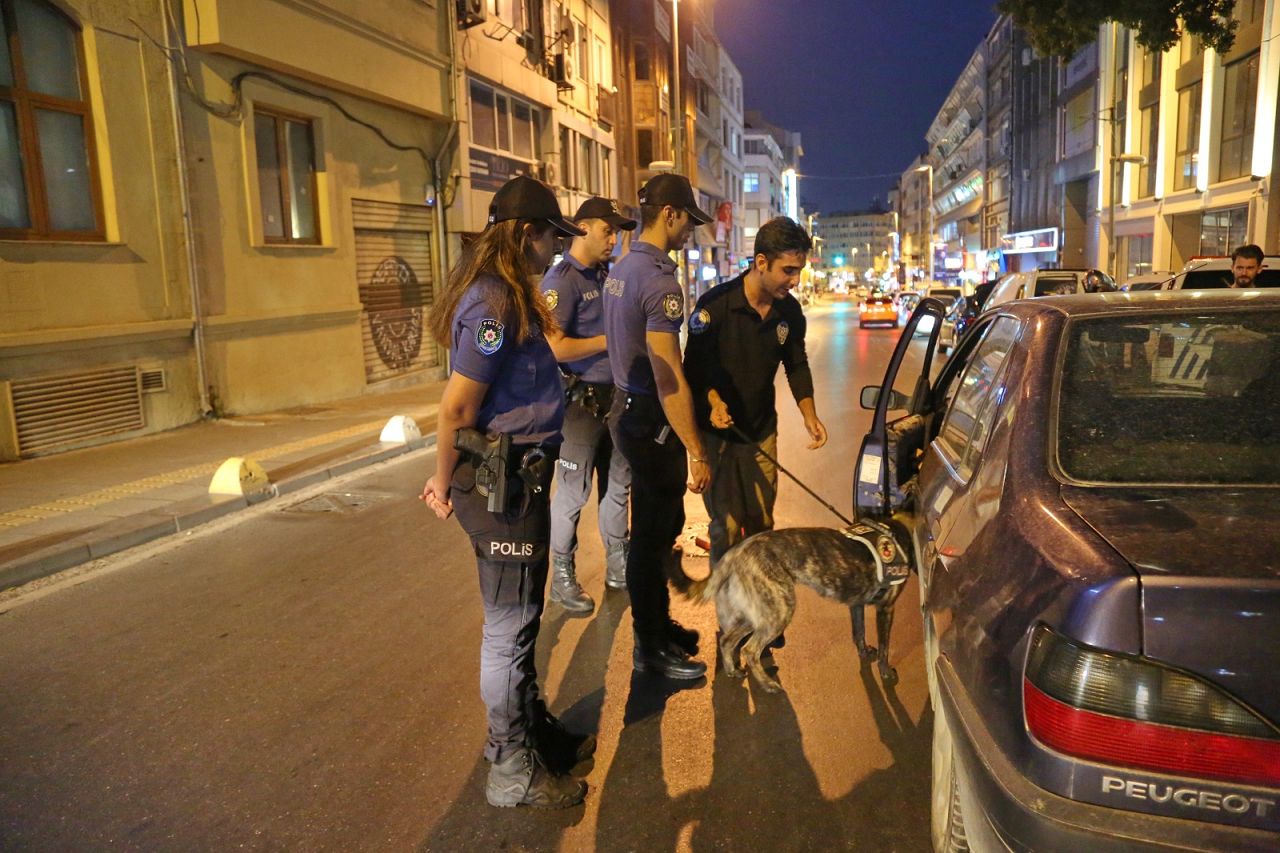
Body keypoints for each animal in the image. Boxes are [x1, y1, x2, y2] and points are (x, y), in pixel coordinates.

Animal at [680, 525, 901, 691]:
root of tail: (737, 551)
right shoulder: (886, 609)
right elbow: (884, 647)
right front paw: (886, 672)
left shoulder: (857, 605)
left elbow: (859, 632)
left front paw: (864, 652)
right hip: (780, 610)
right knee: (749, 650)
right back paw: (768, 684)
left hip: (758, 615)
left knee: (727, 641)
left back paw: (732, 670)